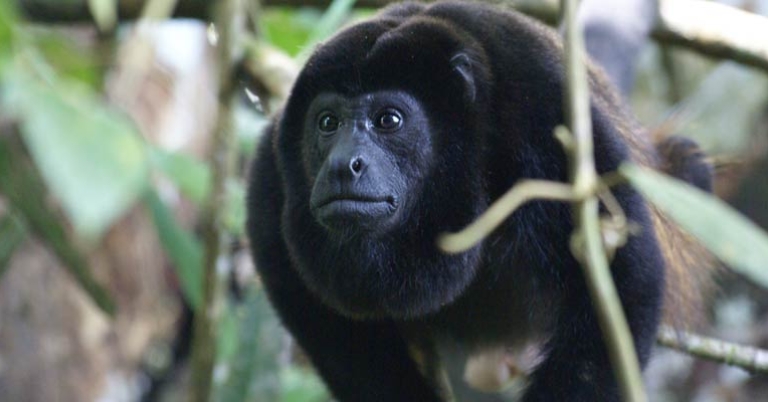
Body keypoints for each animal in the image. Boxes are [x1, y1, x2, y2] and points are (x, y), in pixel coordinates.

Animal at [246, 1, 712, 401]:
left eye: (389, 120)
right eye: (327, 123)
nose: (344, 165)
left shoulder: (544, 114)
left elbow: (625, 279)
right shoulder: (270, 179)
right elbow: (321, 318)